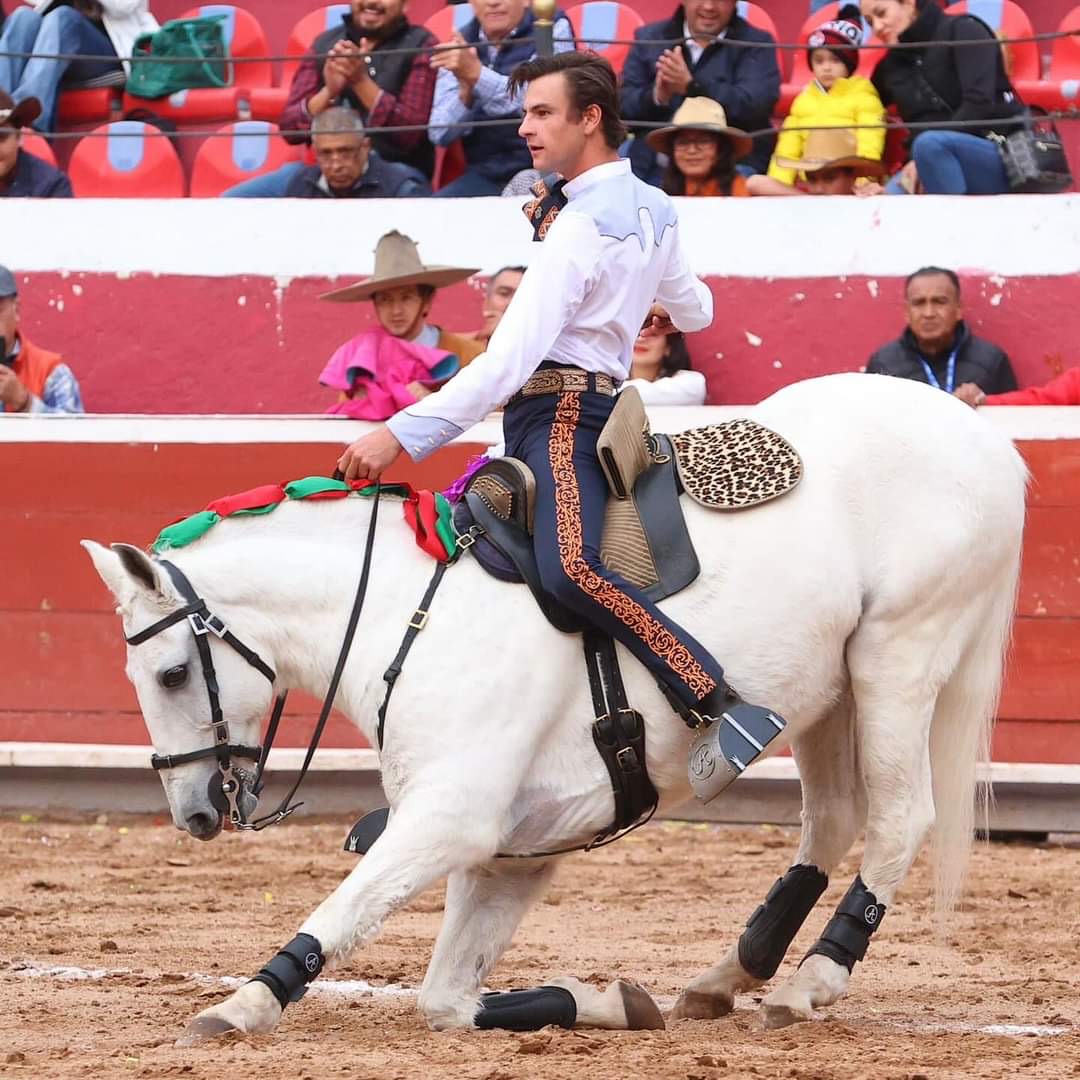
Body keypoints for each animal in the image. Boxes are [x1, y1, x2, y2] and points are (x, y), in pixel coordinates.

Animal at [82, 371, 1019, 1036]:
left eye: (170, 675)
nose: (195, 814)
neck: (406, 611)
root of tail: (987, 442)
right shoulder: (512, 851)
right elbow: (447, 1000)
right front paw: (612, 1001)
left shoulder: (452, 818)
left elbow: (346, 911)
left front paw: (241, 1004)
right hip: (829, 689)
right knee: (830, 820)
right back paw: (727, 976)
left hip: (898, 657)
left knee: (899, 816)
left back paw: (811, 982)